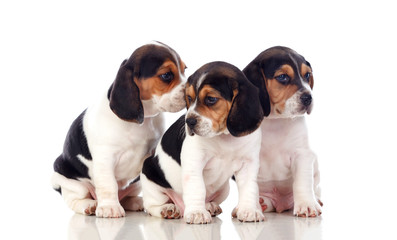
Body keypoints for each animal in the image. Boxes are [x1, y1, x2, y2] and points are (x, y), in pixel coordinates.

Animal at [51, 42, 186, 218]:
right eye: (166, 75)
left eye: (185, 69)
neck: (143, 120)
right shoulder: (105, 158)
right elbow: (109, 185)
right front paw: (109, 208)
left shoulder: (151, 153)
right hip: (71, 181)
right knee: (76, 199)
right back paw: (90, 205)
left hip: (135, 183)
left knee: (127, 198)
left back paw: (140, 203)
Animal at [139, 61, 266, 223]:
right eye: (189, 97)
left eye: (211, 99)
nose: (189, 121)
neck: (224, 137)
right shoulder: (194, 162)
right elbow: (197, 188)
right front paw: (197, 213)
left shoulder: (248, 164)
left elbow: (249, 189)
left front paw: (249, 210)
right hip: (149, 176)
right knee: (151, 206)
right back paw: (168, 209)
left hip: (224, 189)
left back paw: (211, 206)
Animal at [241, 45, 322, 218]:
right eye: (283, 77)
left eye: (307, 75)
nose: (309, 98)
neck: (276, 121)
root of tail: (281, 204)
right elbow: (250, 185)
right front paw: (250, 209)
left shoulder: (302, 155)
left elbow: (302, 182)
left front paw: (307, 205)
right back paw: (262, 204)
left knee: (315, 187)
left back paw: (316, 201)